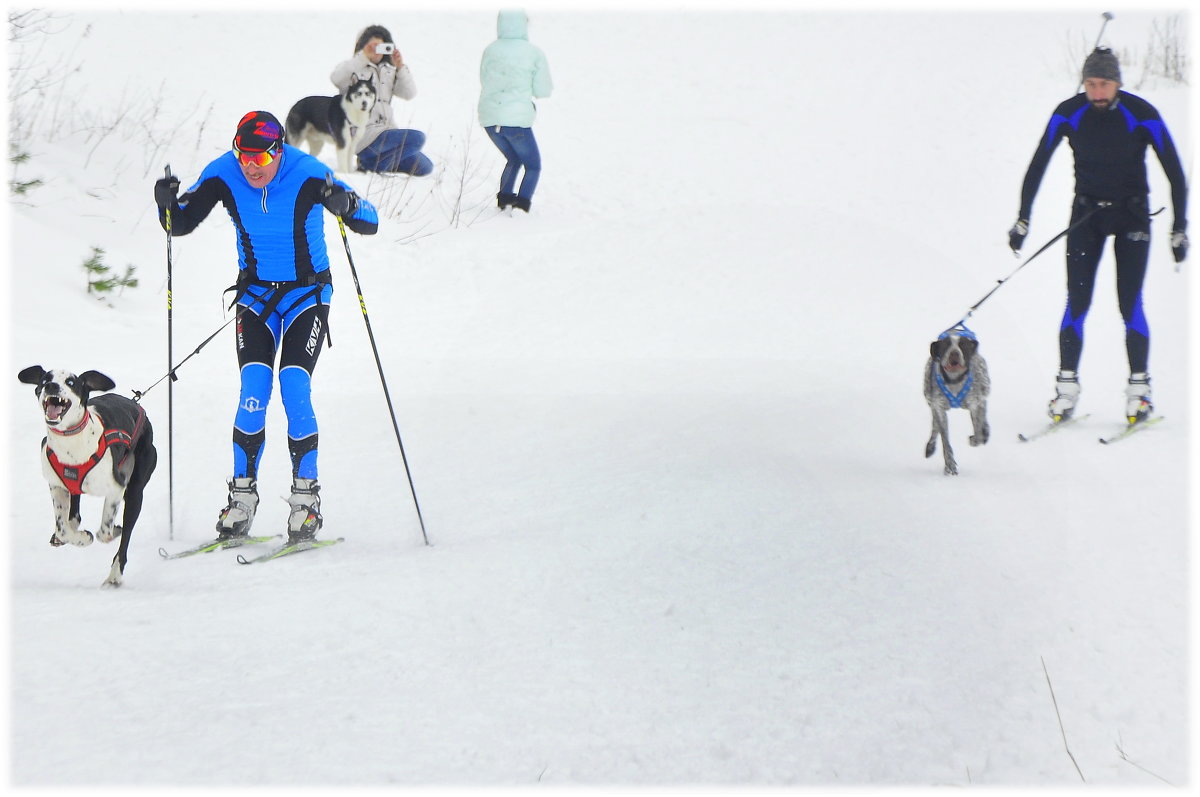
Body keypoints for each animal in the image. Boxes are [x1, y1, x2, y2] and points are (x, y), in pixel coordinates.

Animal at [17, 367, 157, 585]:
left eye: (71, 382)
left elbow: (104, 532)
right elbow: (63, 529)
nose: (51, 386)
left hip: (135, 490)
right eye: (45, 380)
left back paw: (114, 575)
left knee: (125, 537)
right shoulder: (56, 487)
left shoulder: (116, 488)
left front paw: (108, 532)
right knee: (74, 512)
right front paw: (80, 538)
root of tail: (136, 405)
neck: (72, 444)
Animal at [921, 326, 988, 475]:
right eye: (946, 345)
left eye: (963, 345)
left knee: (984, 412)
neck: (954, 381)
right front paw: (950, 465)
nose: (954, 354)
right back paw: (930, 447)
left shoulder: (975, 403)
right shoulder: (938, 407)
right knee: (935, 426)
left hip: (984, 391)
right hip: (930, 399)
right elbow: (945, 441)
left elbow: (978, 433)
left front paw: (977, 438)